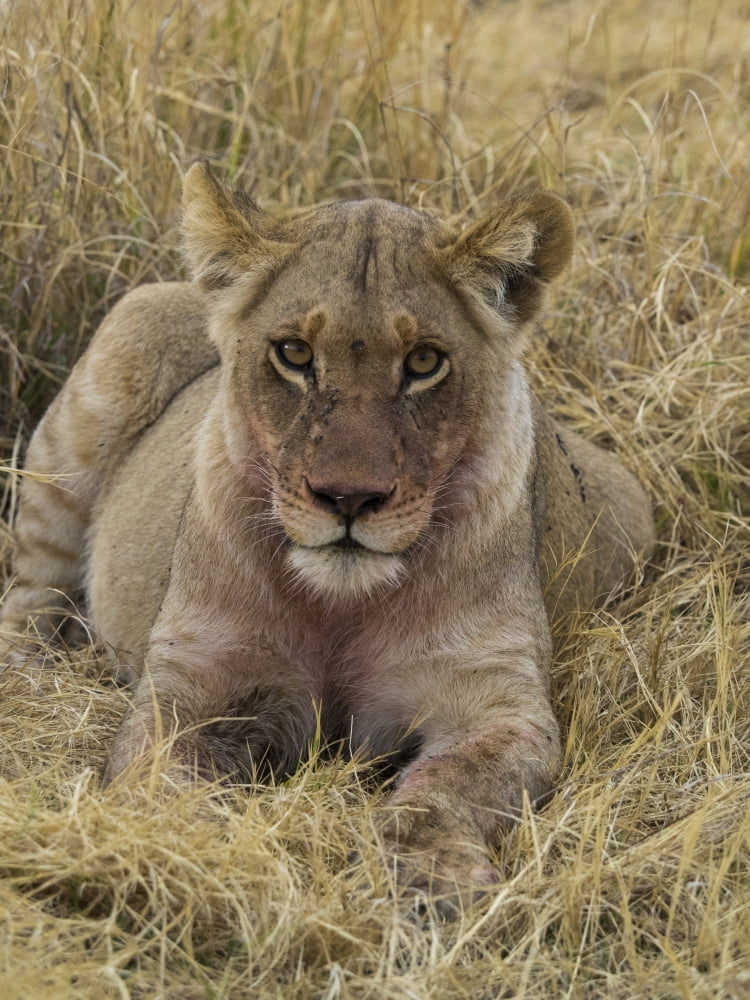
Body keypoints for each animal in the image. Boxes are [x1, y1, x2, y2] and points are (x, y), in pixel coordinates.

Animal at [0, 163, 655, 910]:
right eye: (294, 353)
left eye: (424, 361)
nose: (348, 497)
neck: (341, 607)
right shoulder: (194, 678)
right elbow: (160, 777)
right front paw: (182, 851)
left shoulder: (498, 702)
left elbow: (445, 791)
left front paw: (433, 879)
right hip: (87, 410)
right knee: (28, 594)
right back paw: (30, 676)